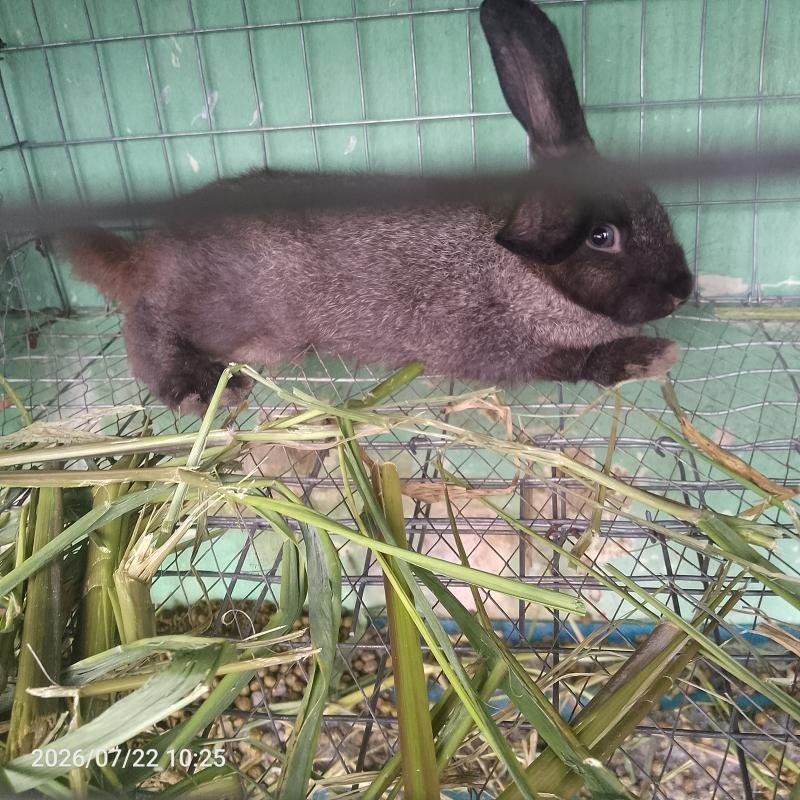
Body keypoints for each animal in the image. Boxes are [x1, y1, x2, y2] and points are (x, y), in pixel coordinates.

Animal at [61, 0, 692, 414]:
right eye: (603, 237)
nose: (683, 292)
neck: (522, 271)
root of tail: (148, 251)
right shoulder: (498, 348)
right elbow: (572, 363)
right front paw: (650, 356)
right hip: (228, 308)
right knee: (145, 319)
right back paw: (198, 388)